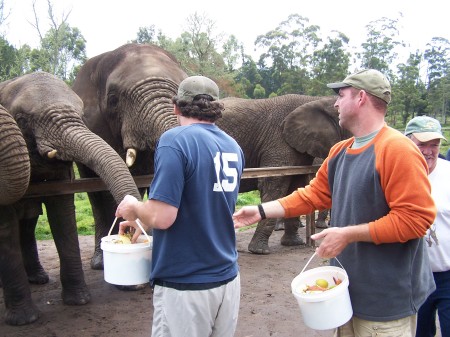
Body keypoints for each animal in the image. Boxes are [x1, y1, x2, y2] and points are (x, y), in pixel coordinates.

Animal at [0, 72, 142, 324]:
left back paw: (38, 278)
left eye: (82, 115)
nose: (136, 287)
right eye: (22, 120)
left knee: (28, 224)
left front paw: (79, 301)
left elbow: (63, 214)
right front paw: (25, 321)